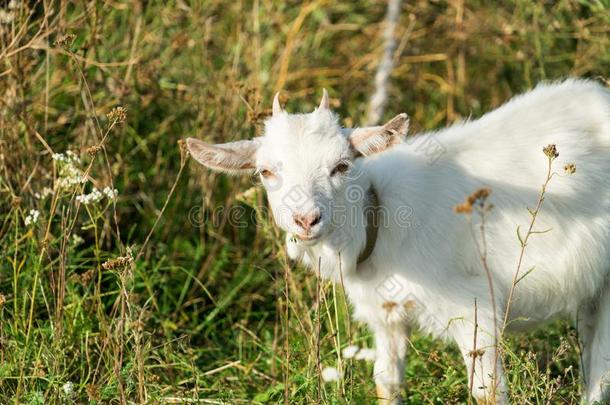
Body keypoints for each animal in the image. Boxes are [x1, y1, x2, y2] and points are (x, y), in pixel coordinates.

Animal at [185, 77, 608, 402]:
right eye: (266, 172)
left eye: (342, 166)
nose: (306, 220)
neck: (377, 215)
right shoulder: (384, 315)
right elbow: (386, 385)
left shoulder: (475, 310)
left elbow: (487, 392)